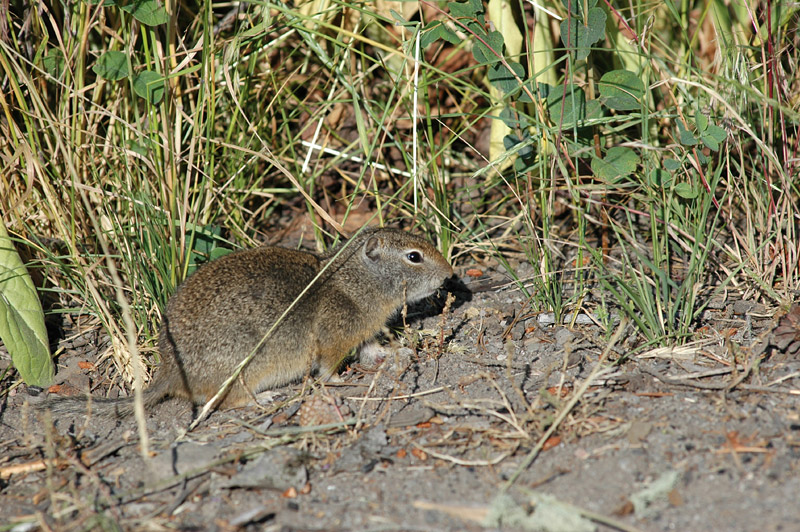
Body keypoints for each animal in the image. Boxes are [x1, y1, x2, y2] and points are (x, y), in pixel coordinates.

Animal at [43, 224, 454, 416]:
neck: (355, 282)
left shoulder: (361, 335)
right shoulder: (334, 339)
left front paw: (397, 353)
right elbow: (327, 368)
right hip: (243, 369)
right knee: (225, 402)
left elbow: (371, 350)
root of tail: (169, 373)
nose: (451, 274)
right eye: (414, 256)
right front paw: (339, 382)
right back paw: (264, 397)